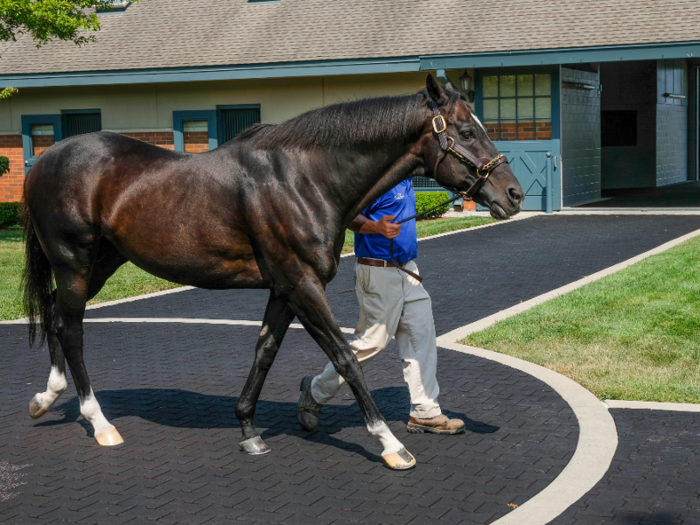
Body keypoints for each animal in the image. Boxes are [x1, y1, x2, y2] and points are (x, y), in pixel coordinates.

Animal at [21, 72, 524, 466]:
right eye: (466, 131)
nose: (514, 194)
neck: (304, 179)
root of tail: (44, 161)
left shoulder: (283, 288)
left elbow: (265, 351)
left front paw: (249, 431)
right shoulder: (303, 284)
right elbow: (345, 357)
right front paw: (390, 444)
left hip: (102, 261)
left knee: (56, 315)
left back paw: (46, 397)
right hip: (74, 262)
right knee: (71, 329)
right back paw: (100, 422)